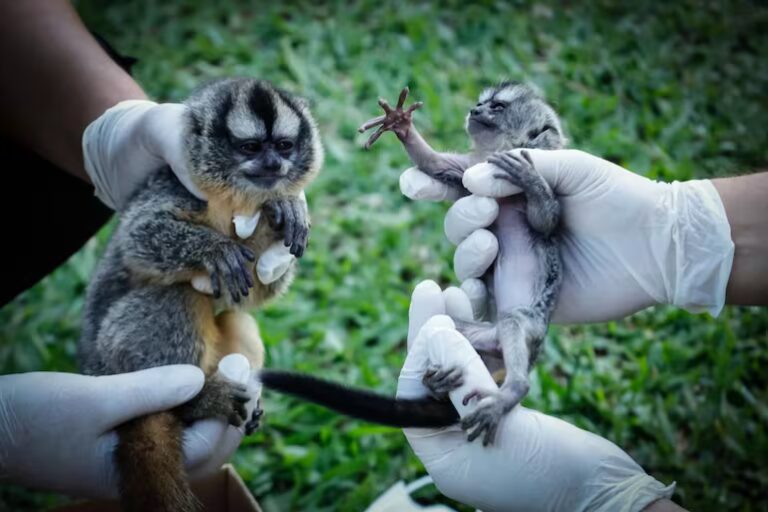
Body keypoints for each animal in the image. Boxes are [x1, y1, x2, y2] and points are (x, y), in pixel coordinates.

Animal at [78, 77, 323, 512]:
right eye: (250, 148)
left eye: (283, 146)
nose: (273, 166)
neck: (236, 198)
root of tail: (94, 371)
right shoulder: (175, 188)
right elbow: (136, 237)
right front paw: (214, 250)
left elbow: (255, 292)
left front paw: (287, 208)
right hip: (115, 365)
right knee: (179, 298)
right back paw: (198, 404)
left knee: (238, 319)